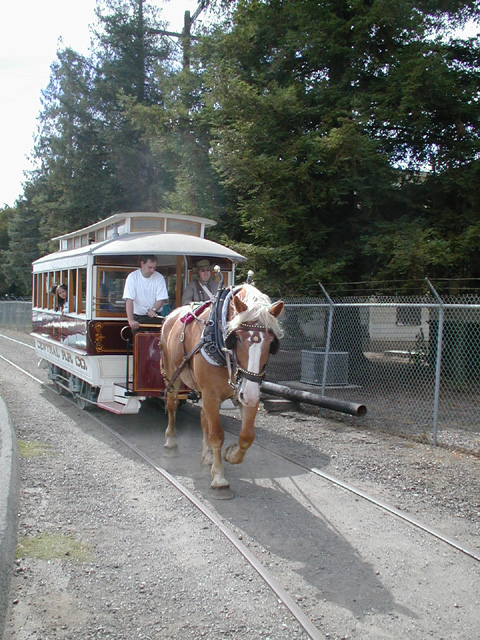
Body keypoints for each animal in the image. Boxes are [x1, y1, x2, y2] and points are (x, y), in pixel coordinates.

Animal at [159, 284, 284, 496]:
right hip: (172, 374)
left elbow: (247, 436)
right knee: (172, 405)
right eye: (238, 339)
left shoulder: (248, 392)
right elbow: (217, 435)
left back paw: (208, 455)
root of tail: (171, 315)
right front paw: (219, 478)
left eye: (271, 343)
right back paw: (171, 443)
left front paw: (231, 454)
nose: (248, 394)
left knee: (204, 419)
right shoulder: (211, 394)